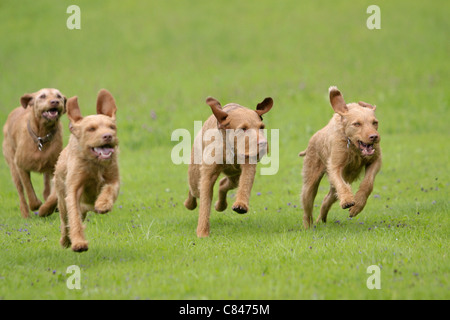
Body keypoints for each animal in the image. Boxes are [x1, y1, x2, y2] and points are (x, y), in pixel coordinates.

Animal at [1, 88, 66, 218]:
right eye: (42, 96)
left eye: (59, 96)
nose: (55, 102)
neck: (42, 136)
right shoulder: (21, 166)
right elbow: (29, 189)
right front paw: (36, 206)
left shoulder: (55, 168)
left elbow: (53, 195)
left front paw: (46, 209)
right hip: (13, 168)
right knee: (21, 193)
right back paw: (26, 214)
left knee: (46, 189)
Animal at [39, 89, 120, 251]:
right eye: (91, 129)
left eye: (111, 127)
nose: (108, 136)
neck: (95, 164)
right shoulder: (73, 189)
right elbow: (74, 218)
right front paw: (78, 243)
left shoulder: (113, 179)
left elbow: (110, 188)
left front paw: (103, 204)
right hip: (62, 200)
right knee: (65, 222)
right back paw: (66, 240)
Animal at [184, 96, 274, 236]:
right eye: (243, 128)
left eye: (262, 127)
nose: (263, 143)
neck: (231, 148)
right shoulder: (208, 175)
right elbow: (205, 203)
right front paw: (202, 232)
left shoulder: (247, 163)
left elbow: (245, 183)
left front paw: (241, 204)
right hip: (195, 174)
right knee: (194, 190)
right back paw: (189, 203)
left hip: (234, 176)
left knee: (223, 184)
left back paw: (220, 205)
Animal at [300, 86, 382, 229]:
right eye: (357, 124)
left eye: (374, 122)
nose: (374, 136)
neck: (353, 146)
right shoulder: (335, 167)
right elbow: (341, 184)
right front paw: (348, 201)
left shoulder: (375, 160)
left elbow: (368, 183)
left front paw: (357, 206)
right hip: (310, 182)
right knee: (307, 208)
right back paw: (308, 227)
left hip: (334, 190)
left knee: (326, 199)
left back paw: (321, 220)